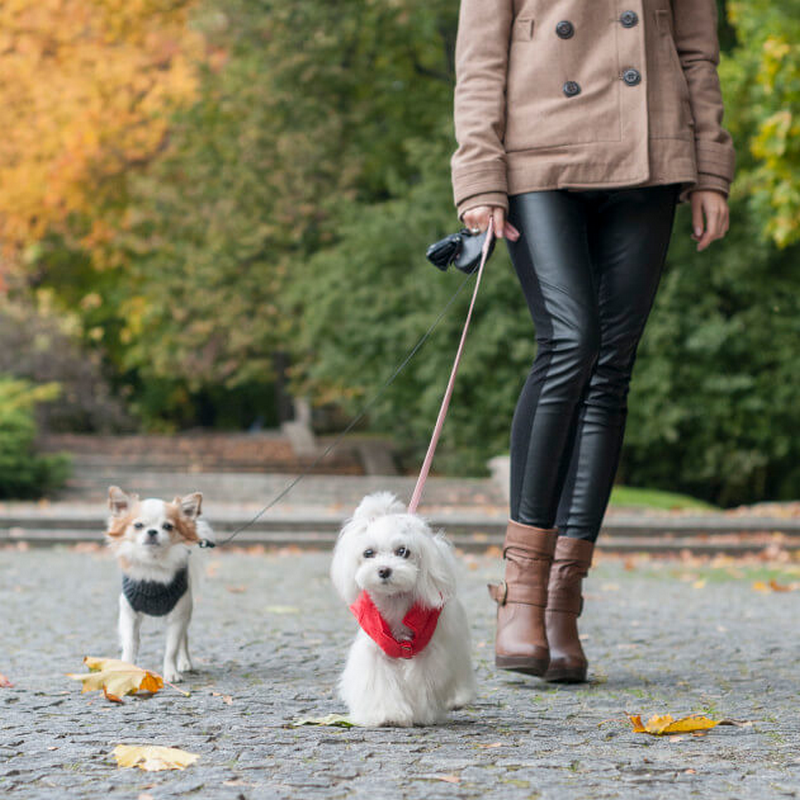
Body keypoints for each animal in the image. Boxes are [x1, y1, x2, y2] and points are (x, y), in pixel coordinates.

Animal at [104, 488, 214, 680]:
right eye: (138, 525)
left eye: (168, 526)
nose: (152, 531)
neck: (153, 565)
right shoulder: (129, 614)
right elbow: (130, 645)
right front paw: (127, 668)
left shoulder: (178, 617)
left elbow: (171, 649)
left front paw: (171, 672)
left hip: (186, 613)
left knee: (184, 639)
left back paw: (185, 663)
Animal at [330, 490, 476, 728]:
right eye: (368, 553)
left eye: (403, 551)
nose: (384, 570)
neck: (395, 602)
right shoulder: (376, 649)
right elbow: (380, 682)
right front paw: (388, 715)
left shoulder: (429, 652)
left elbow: (424, 683)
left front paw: (422, 714)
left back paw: (458, 698)